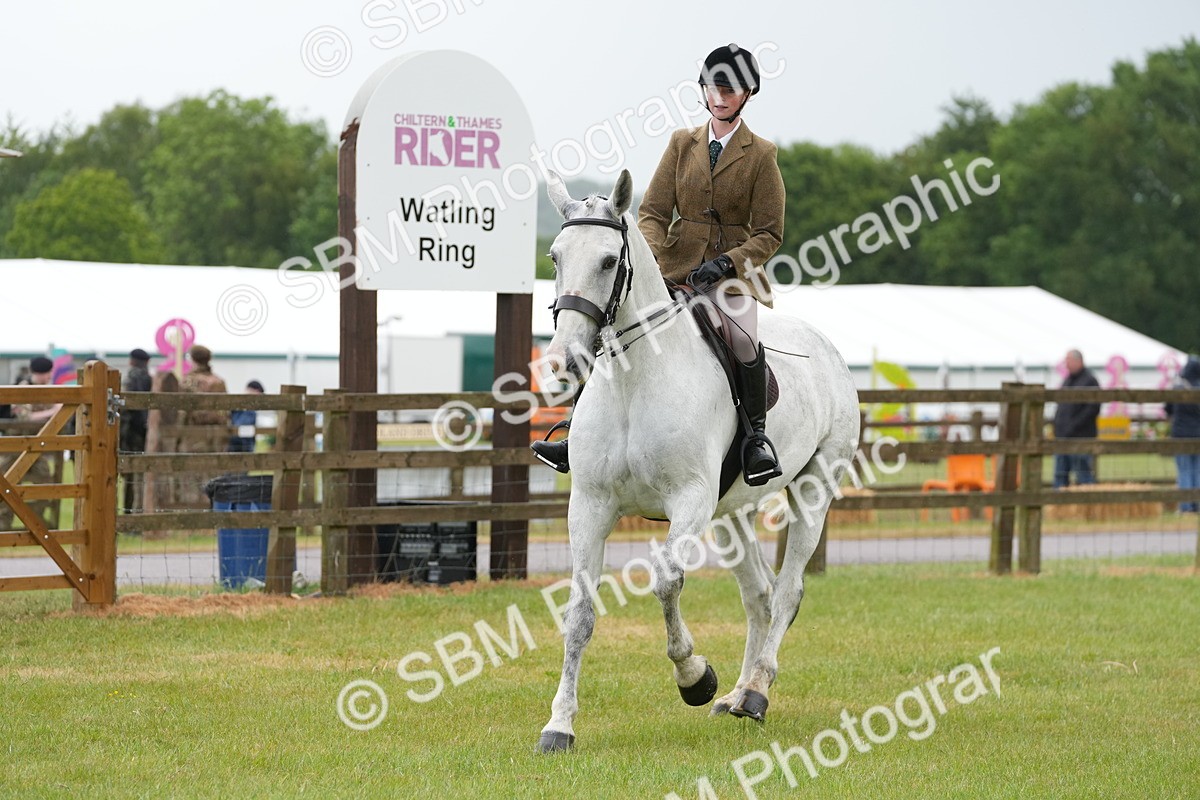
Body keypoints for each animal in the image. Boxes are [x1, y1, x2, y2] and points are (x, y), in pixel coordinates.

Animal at [536, 169, 860, 753]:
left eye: (607, 261)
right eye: (555, 257)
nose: (564, 361)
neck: (634, 381)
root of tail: (827, 348)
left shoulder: (689, 501)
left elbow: (666, 582)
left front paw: (694, 678)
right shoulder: (590, 505)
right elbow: (580, 613)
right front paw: (559, 726)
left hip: (814, 488)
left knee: (788, 591)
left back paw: (754, 693)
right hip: (733, 512)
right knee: (759, 595)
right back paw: (736, 696)